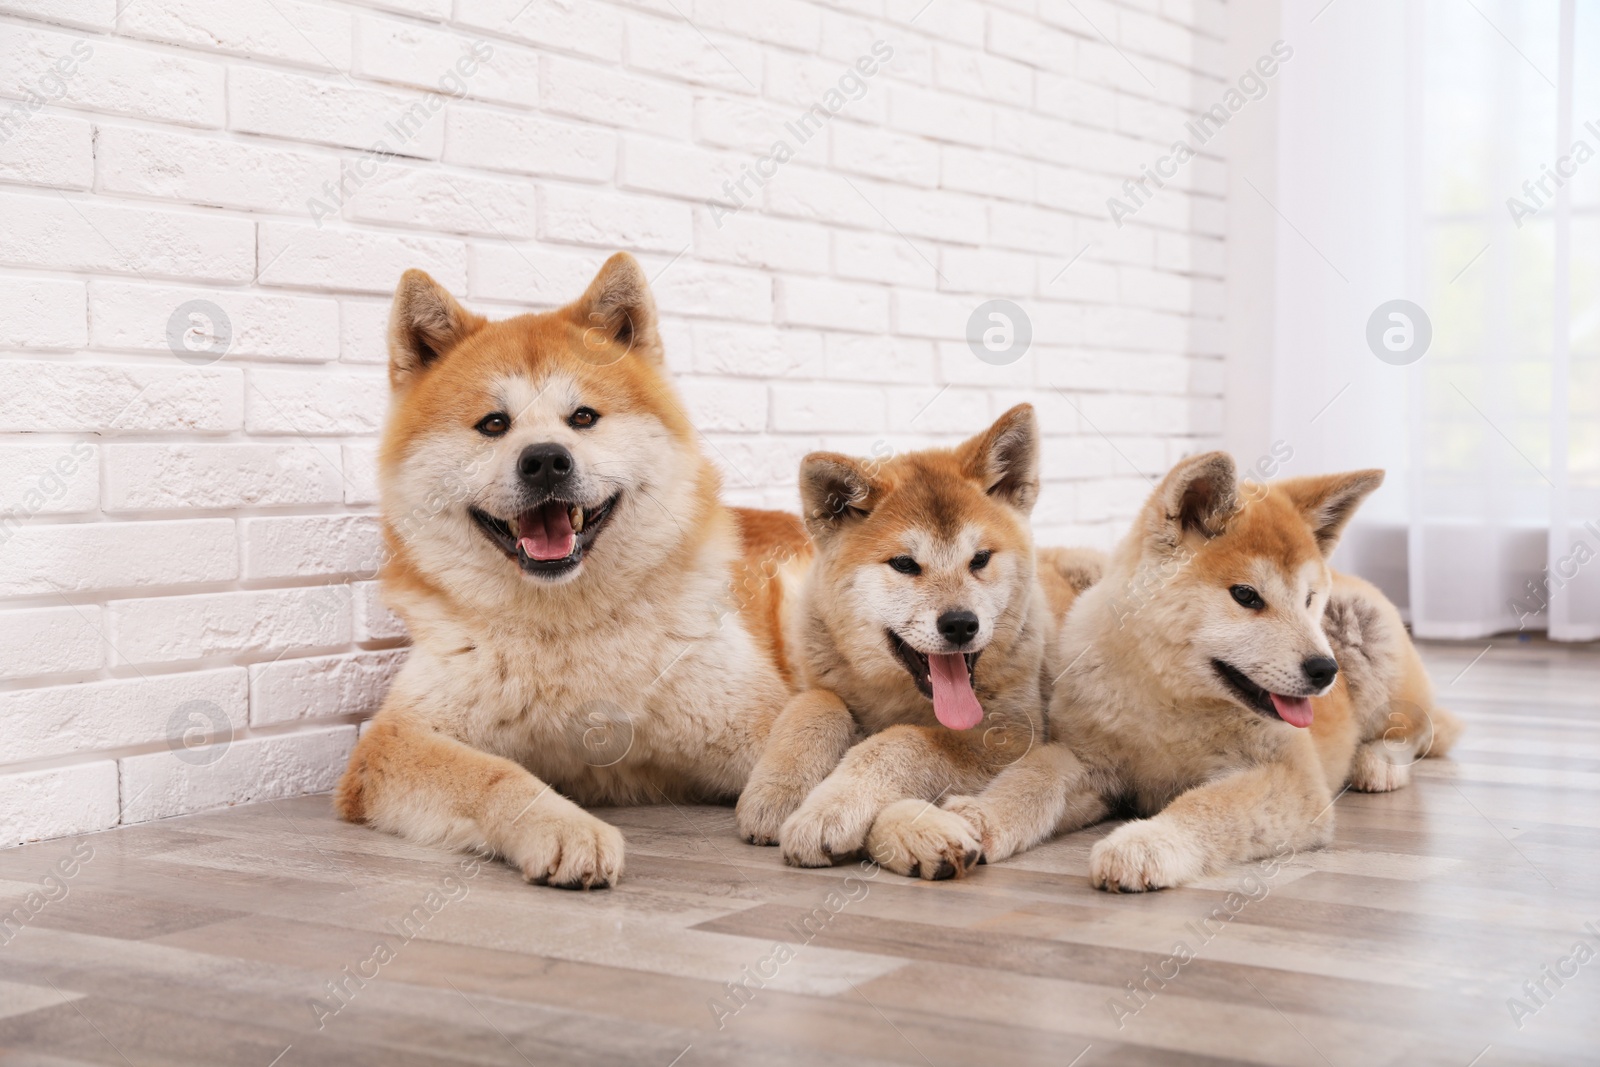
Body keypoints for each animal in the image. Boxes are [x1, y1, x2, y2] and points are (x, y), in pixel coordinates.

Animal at [337, 254, 812, 889]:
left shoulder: (759, 718)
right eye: (493, 424)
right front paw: (564, 828)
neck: (567, 628)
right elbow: (498, 776)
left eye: (583, 417)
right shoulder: (394, 742)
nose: (544, 460)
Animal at [732, 404, 1100, 883]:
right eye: (905, 564)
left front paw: (831, 808)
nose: (961, 624)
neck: (904, 700)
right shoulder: (816, 681)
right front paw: (777, 790)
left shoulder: (1009, 741)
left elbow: (904, 741)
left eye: (980, 559)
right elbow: (815, 704)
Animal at [928, 454, 1465, 895]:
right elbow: (1033, 776)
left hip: (1370, 639)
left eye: (1309, 599)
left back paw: (1378, 763)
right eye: (1246, 596)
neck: (1173, 701)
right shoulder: (1089, 759)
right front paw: (983, 815)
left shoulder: (1289, 777)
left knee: (1423, 728)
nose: (1324, 670)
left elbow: (1207, 806)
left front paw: (1147, 843)